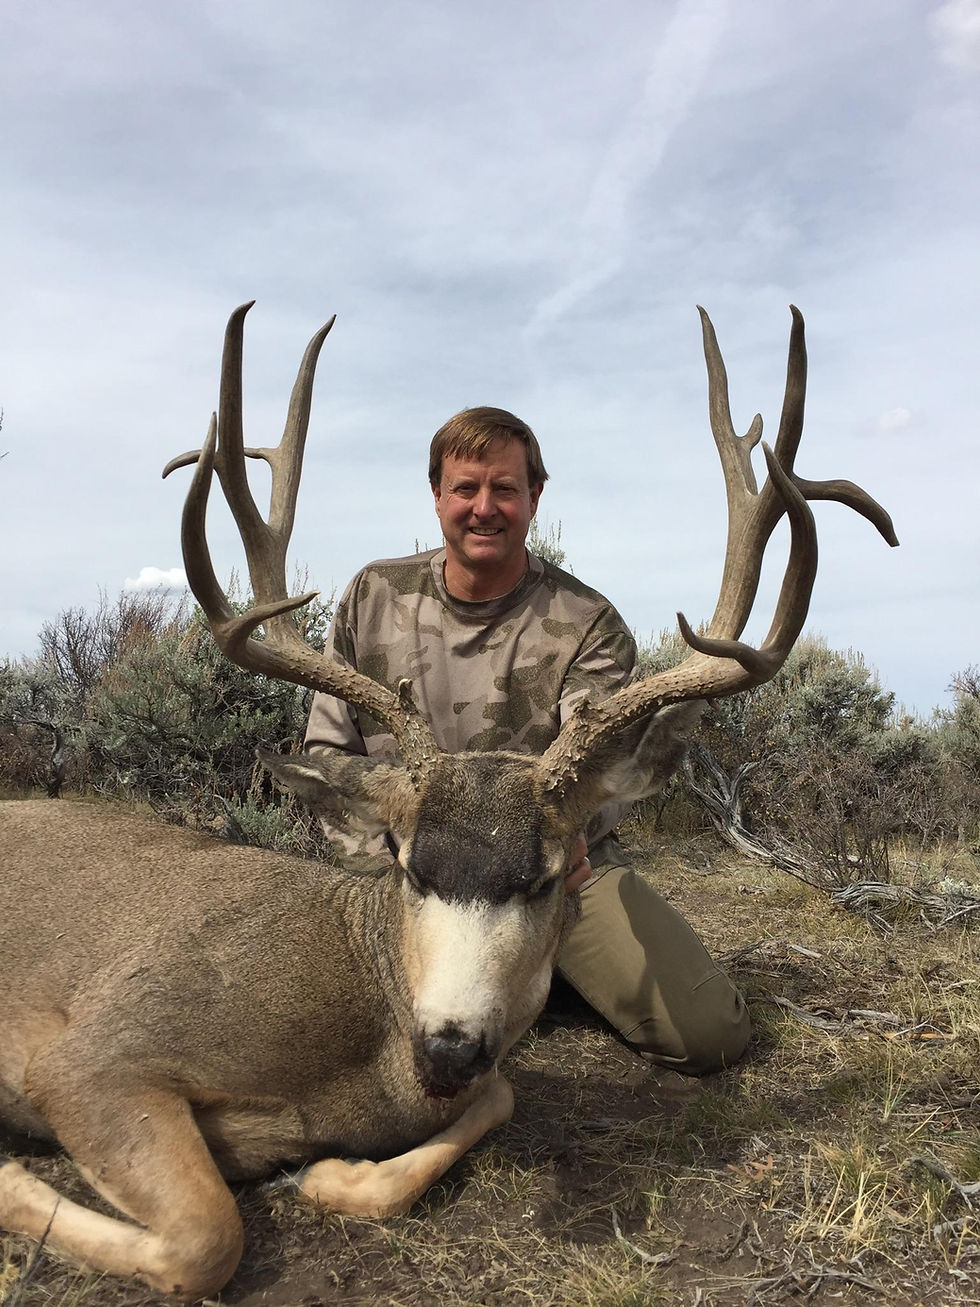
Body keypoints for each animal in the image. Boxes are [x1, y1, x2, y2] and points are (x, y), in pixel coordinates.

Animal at [0, 303, 897, 1299]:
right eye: (406, 865)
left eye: (544, 876)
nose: (448, 1046)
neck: (361, 1042)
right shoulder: (96, 1050)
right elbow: (206, 1235)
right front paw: (10, 1180)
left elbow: (491, 1098)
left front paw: (330, 1173)